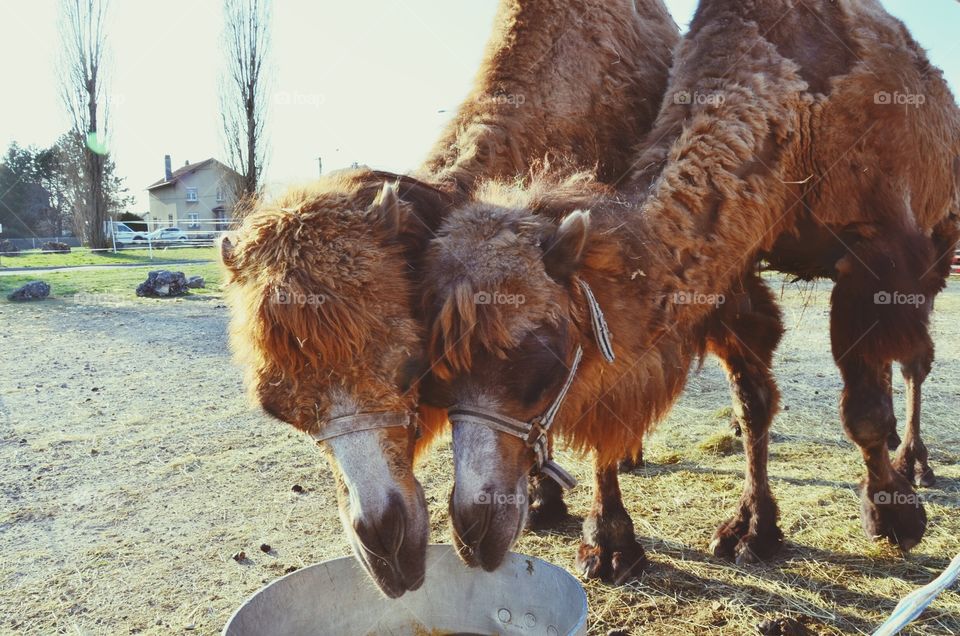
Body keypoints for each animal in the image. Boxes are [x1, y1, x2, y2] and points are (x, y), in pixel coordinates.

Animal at [424, 0, 960, 580]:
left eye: (546, 358)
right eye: (436, 371)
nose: (472, 530)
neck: (796, 114)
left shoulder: (879, 255)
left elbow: (862, 410)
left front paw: (895, 517)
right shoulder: (736, 263)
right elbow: (752, 400)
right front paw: (749, 530)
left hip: (941, 246)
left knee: (913, 363)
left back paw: (914, 460)